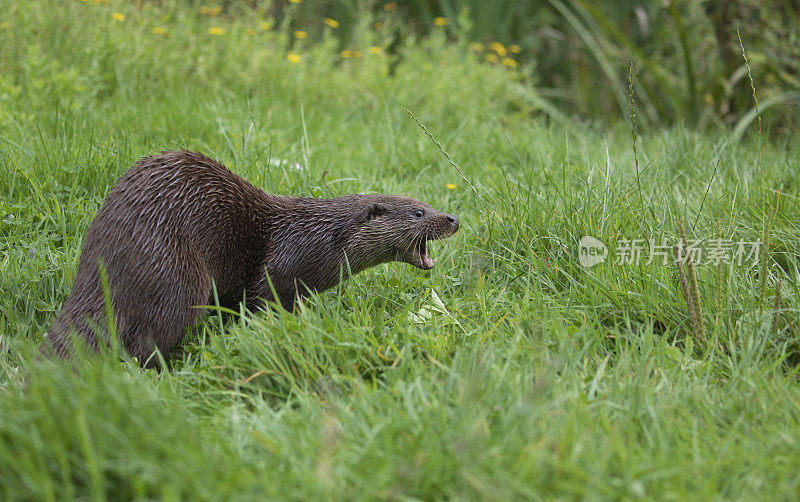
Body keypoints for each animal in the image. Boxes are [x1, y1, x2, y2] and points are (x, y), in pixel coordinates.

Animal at [42, 151, 456, 366]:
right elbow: (264, 304)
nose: (452, 218)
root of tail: (104, 261)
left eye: (429, 203)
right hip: (179, 277)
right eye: (418, 212)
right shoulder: (279, 273)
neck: (318, 238)